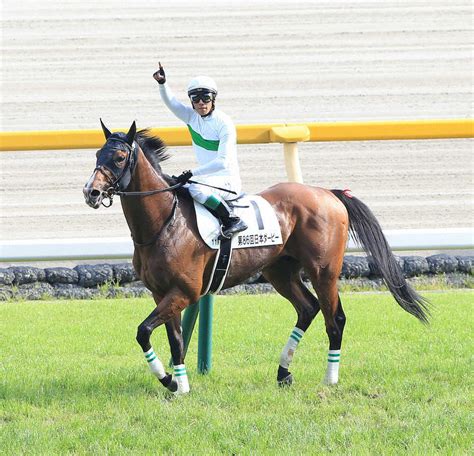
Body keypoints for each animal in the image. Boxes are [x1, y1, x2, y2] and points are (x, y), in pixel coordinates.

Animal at [84, 121, 430, 396]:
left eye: (119, 157)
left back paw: (329, 379)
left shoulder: (184, 292)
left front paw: (168, 380)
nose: (91, 192)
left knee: (336, 319)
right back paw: (283, 372)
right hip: (280, 272)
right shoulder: (162, 292)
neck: (164, 223)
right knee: (308, 308)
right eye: (98, 155)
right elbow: (175, 340)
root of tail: (329, 193)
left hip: (324, 271)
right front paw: (180, 385)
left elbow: (143, 331)